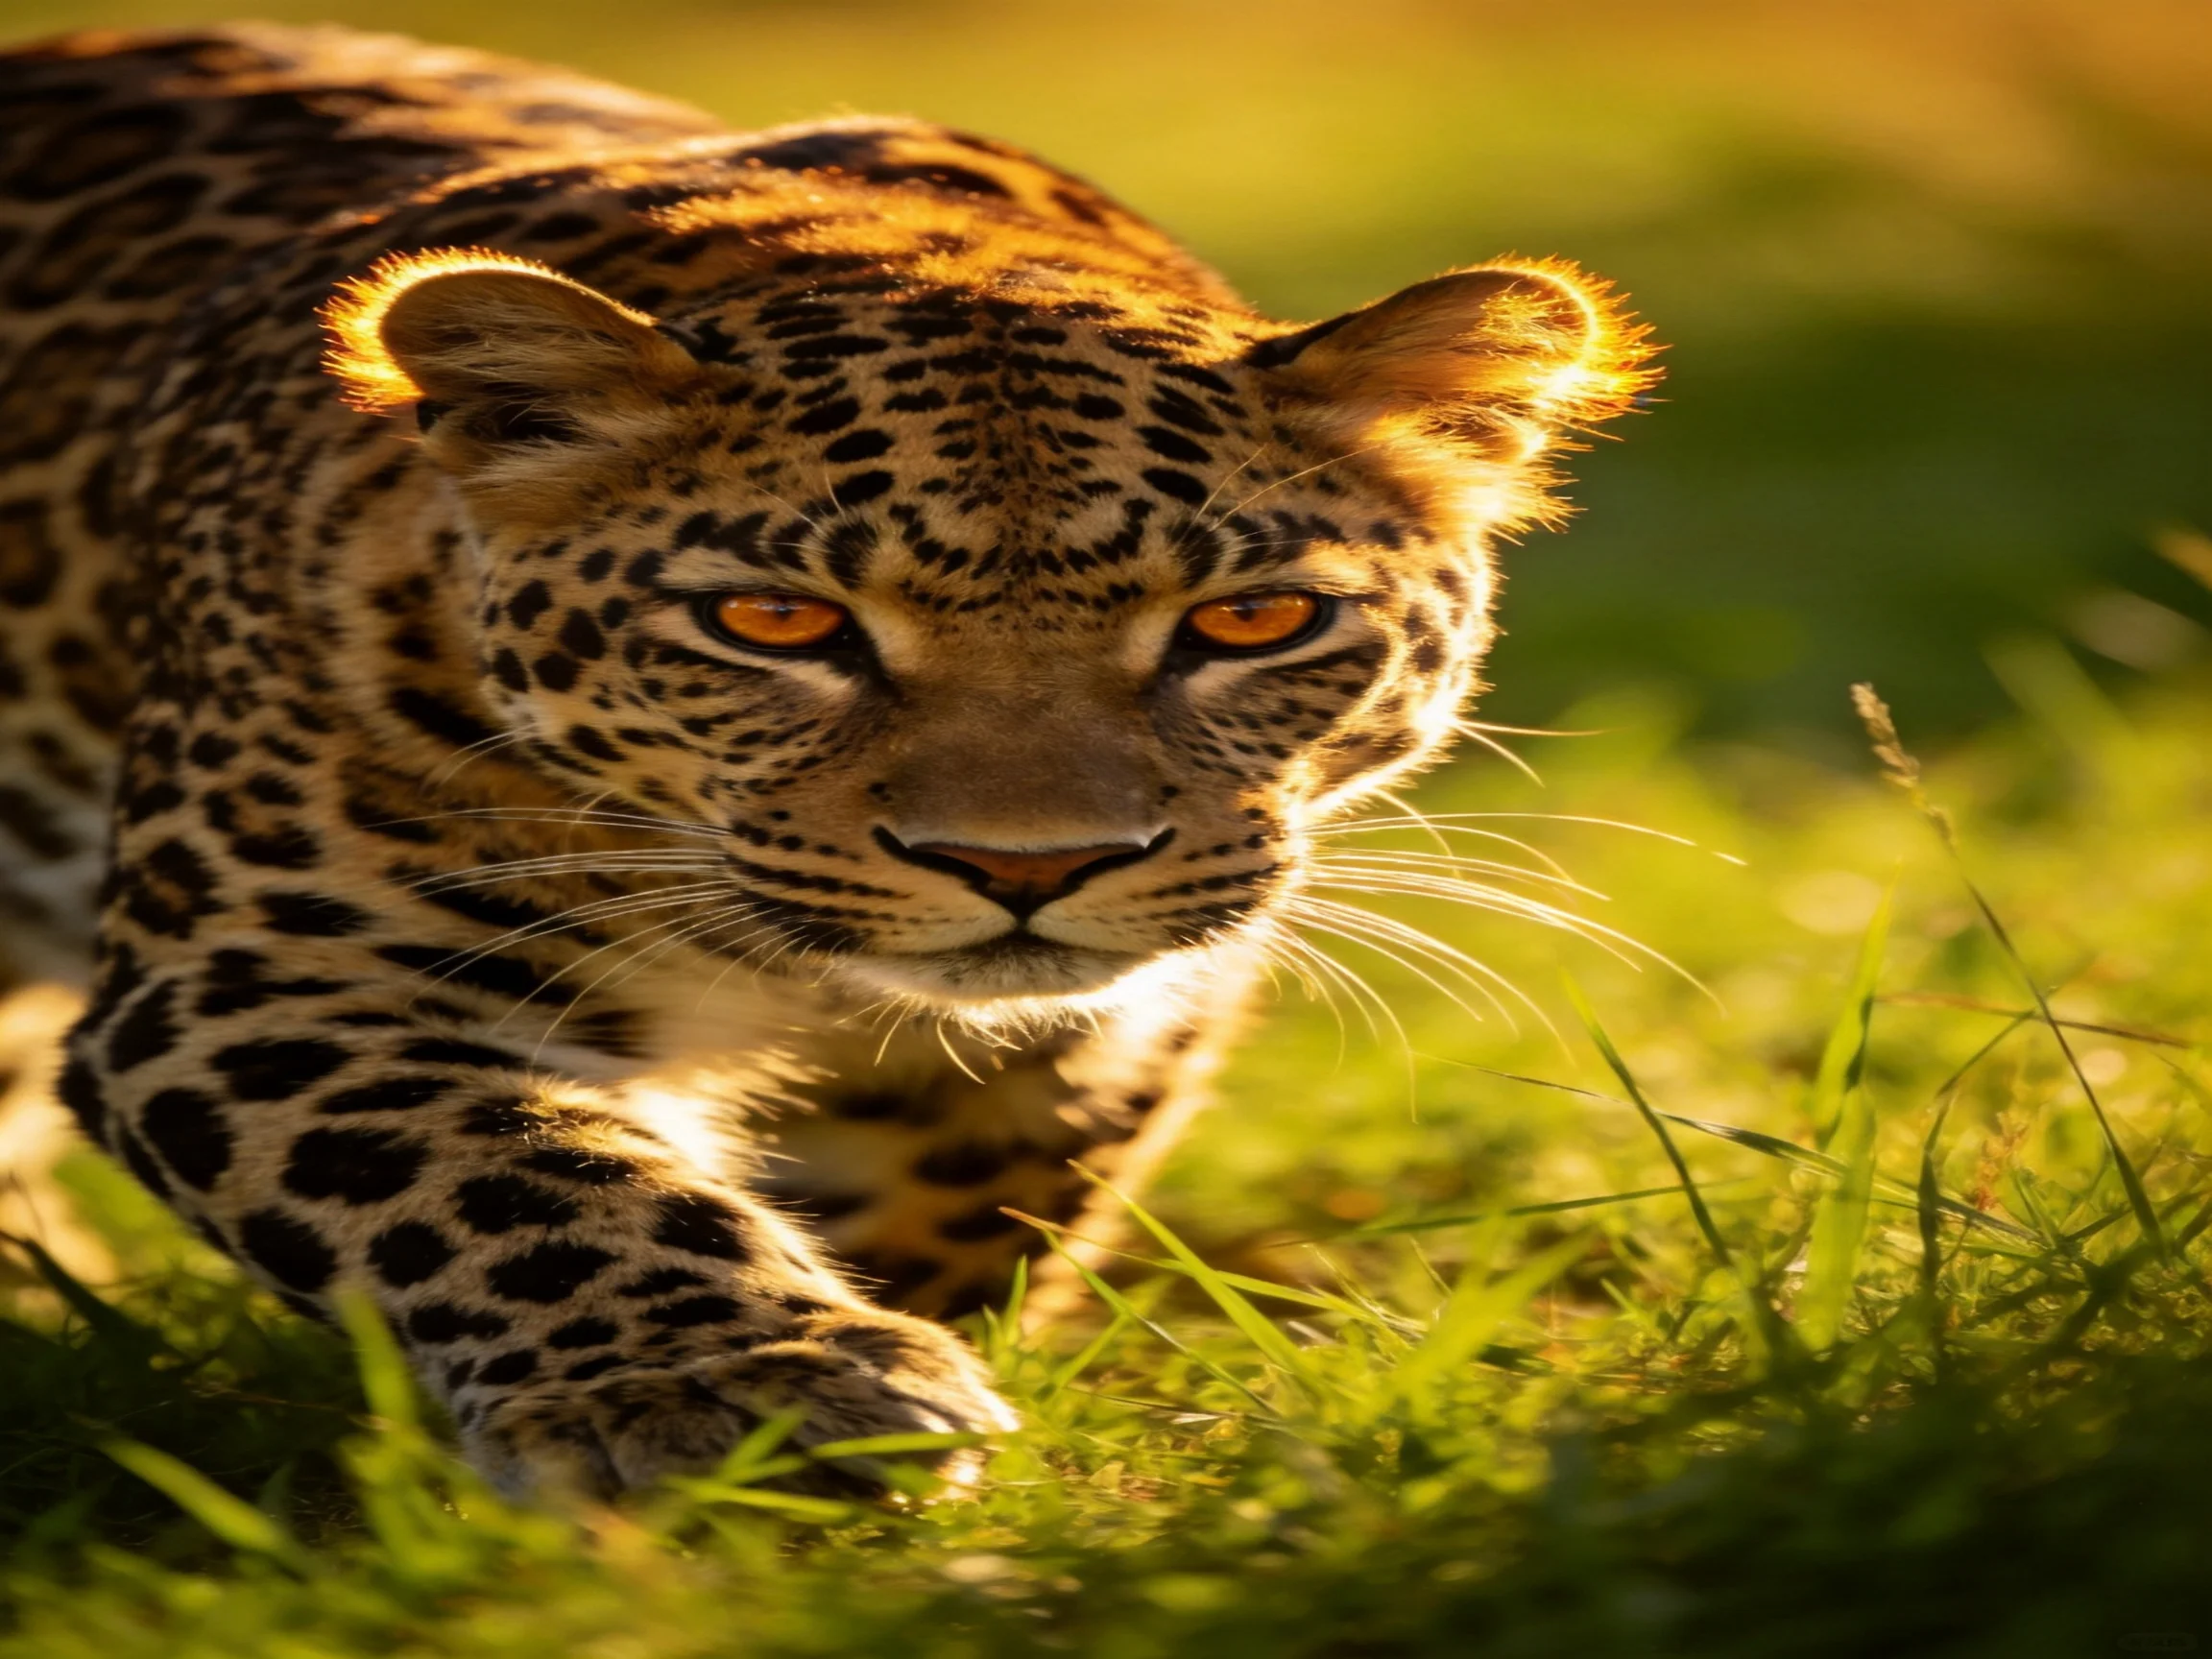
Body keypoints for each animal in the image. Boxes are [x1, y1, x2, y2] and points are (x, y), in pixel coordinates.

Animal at [0, 23, 1654, 1500]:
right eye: (774, 619)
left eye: (1251, 619)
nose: (1028, 867)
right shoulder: (274, 973)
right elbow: (506, 1174)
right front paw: (734, 1389)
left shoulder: (1135, 1001)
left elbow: (983, 1181)